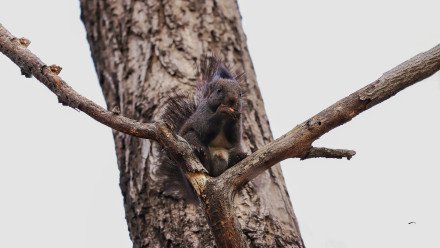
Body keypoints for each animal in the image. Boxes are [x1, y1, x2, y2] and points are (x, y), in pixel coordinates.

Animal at [158, 54, 248, 202]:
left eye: (240, 94)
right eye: (219, 91)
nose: (233, 99)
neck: (225, 120)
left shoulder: (238, 124)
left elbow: (233, 136)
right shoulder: (202, 115)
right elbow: (205, 129)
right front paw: (221, 112)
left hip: (234, 150)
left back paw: (238, 158)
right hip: (191, 138)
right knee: (205, 164)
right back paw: (200, 154)